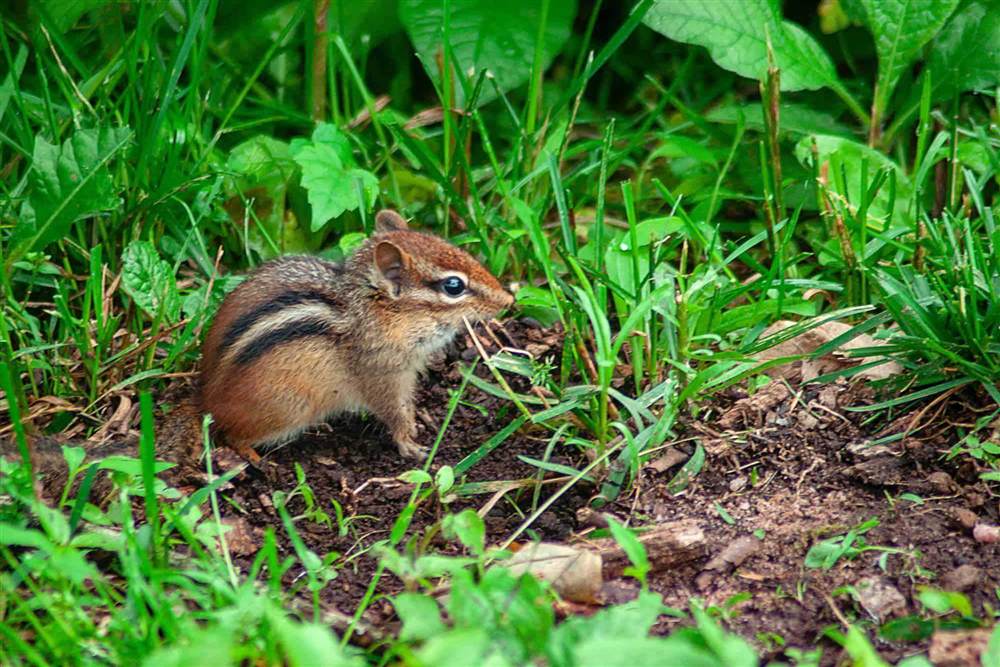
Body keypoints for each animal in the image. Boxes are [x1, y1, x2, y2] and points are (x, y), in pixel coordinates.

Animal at [2, 209, 513, 498]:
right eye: (453, 286)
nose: (508, 300)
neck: (376, 308)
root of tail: (202, 400)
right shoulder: (383, 372)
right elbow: (392, 411)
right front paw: (411, 443)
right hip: (286, 408)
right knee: (230, 435)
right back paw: (257, 459)